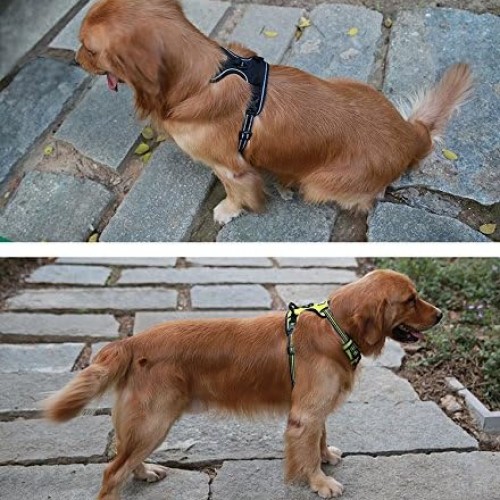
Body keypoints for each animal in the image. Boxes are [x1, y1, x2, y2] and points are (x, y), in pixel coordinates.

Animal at [44, 269, 442, 499]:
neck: (335, 328)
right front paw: (320, 483)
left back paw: (145, 472)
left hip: (148, 424)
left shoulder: (314, 411)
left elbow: (320, 439)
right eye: (410, 300)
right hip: (154, 421)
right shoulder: (305, 415)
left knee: (126, 459)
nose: (440, 314)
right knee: (113, 471)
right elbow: (308, 453)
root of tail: (131, 342)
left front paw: (326, 456)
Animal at [74, 0, 473, 226]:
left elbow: (236, 193)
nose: (75, 59)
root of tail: (410, 136)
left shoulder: (231, 169)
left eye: (89, 49)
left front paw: (227, 211)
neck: (204, 76)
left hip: (321, 182)